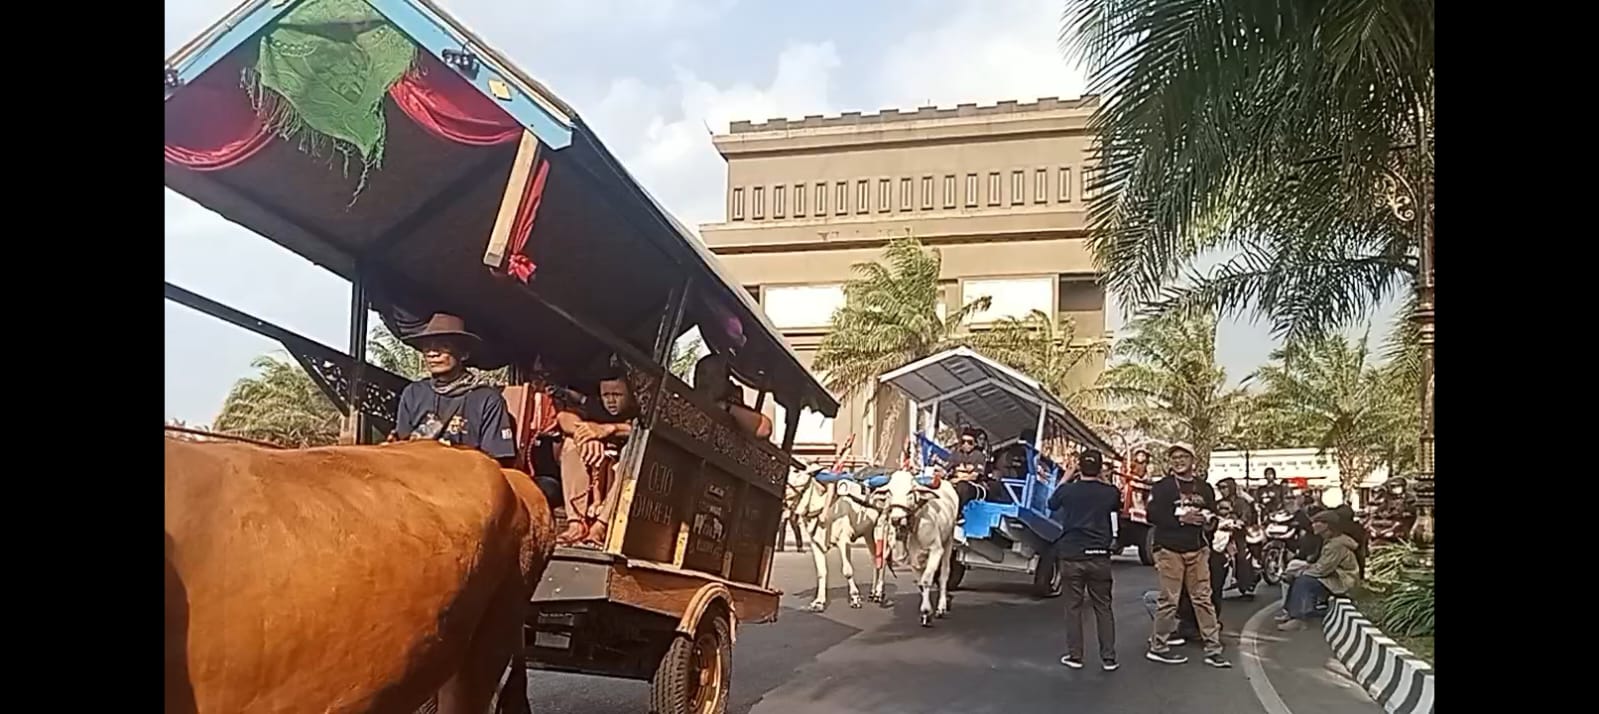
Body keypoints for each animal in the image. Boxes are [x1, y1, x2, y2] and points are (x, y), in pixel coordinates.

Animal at [796, 466, 895, 613]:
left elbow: (847, 570)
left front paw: (855, 598)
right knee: (874, 558)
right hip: (868, 532)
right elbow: (821, 572)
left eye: (796, 473)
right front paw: (819, 602)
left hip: (883, 527)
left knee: (882, 558)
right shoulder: (816, 543)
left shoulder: (844, 540)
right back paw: (873, 592)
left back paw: (878, 593)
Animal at [876, 469, 959, 626]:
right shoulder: (913, 558)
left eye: (910, 491)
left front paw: (926, 611)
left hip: (949, 540)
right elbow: (921, 582)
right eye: (890, 491)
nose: (896, 519)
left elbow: (926, 580)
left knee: (944, 574)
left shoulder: (936, 550)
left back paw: (941, 606)